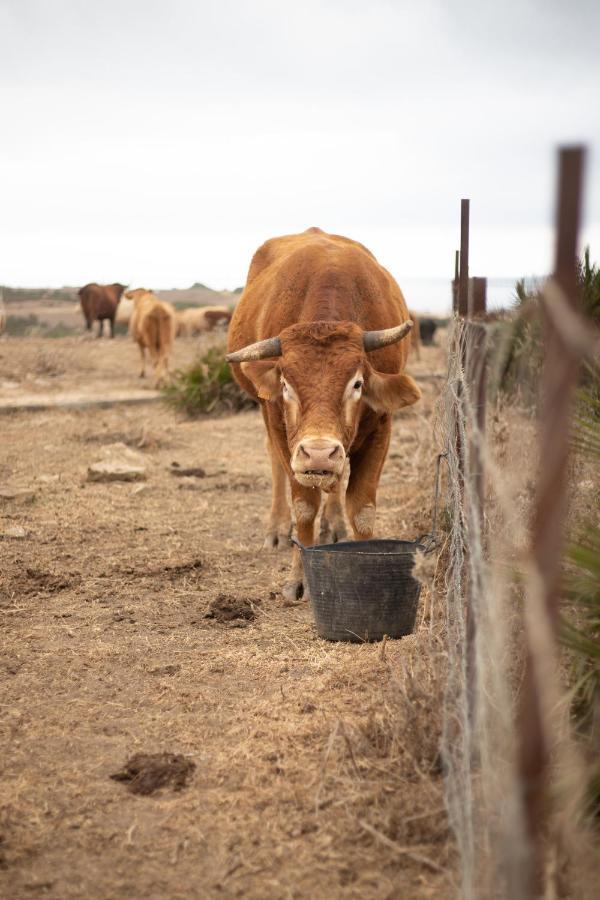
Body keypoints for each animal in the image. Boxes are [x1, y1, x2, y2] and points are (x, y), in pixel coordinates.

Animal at [226, 229, 422, 600]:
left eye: (357, 384)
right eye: (285, 385)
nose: (318, 452)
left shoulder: (381, 428)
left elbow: (362, 510)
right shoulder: (281, 428)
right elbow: (304, 507)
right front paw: (298, 578)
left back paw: (333, 523)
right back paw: (277, 528)